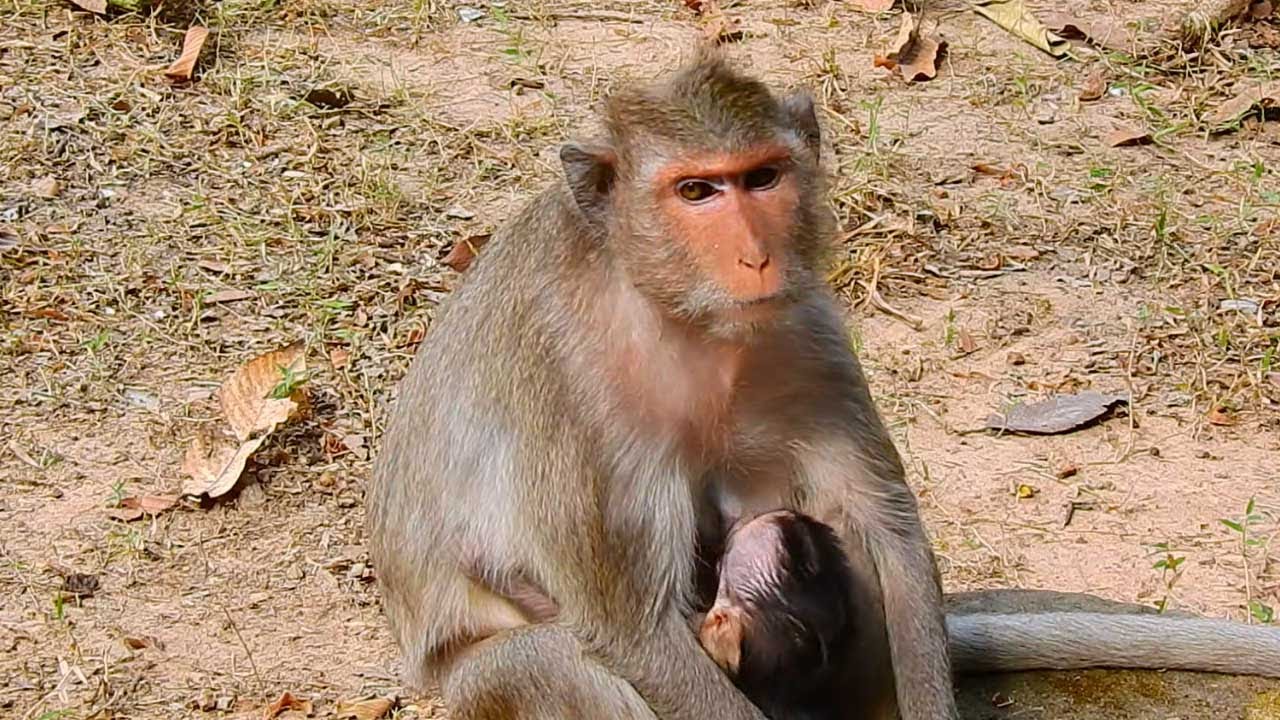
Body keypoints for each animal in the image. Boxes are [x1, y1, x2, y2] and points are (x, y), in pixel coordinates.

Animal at [368, 48, 1280, 720]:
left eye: (763, 177)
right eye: (696, 190)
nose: (755, 255)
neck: (678, 314)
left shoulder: (808, 330)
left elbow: (886, 531)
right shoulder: (574, 387)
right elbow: (628, 625)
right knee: (558, 663)